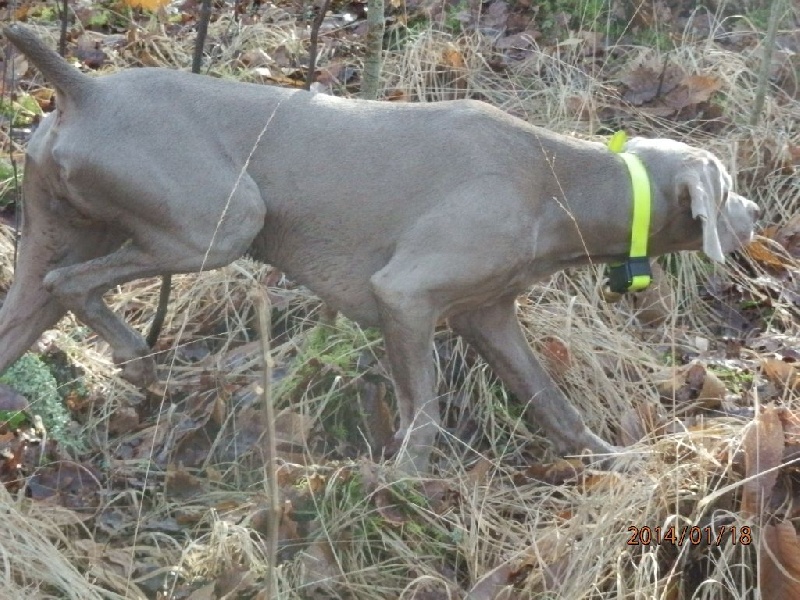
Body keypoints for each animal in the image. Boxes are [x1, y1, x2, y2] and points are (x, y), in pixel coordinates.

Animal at [0, 25, 758, 472]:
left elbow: (551, 400)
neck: (559, 184)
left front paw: (612, 461)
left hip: (51, 243)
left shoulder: (487, 314)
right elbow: (424, 412)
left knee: (40, 299)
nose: (755, 213)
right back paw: (142, 362)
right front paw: (407, 490)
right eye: (726, 189)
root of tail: (84, 89)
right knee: (75, 283)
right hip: (224, 220)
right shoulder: (406, 295)